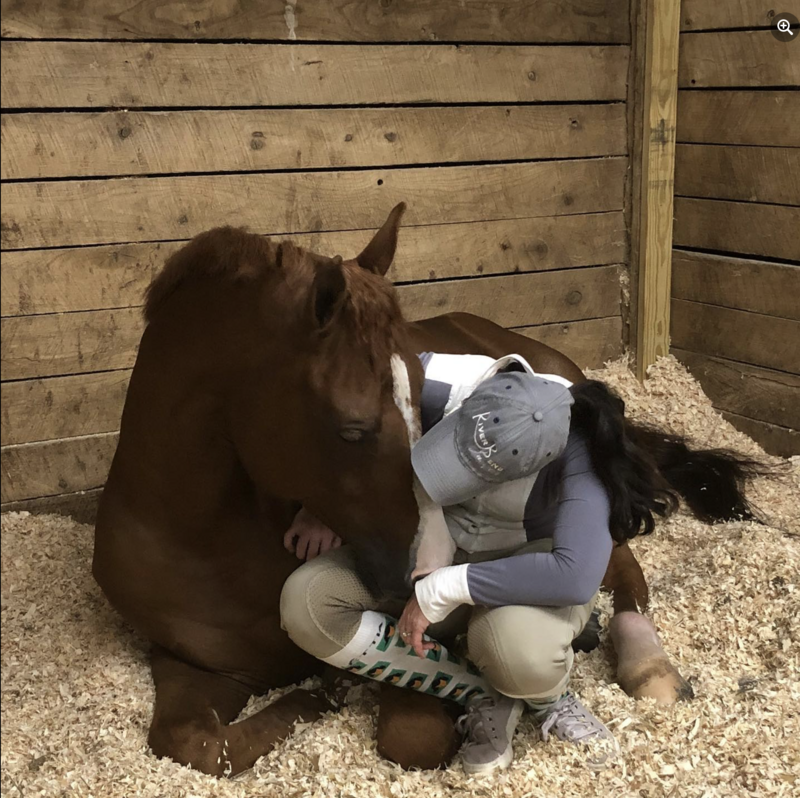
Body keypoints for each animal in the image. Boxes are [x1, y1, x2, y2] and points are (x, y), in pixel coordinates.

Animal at [94, 203, 756, 780]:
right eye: (352, 429)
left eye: (423, 396)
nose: (427, 566)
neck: (207, 542)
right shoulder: (187, 665)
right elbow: (192, 744)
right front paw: (324, 693)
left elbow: (412, 736)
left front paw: (343, 690)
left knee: (620, 569)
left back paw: (646, 666)